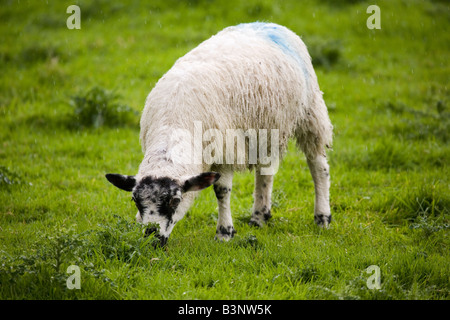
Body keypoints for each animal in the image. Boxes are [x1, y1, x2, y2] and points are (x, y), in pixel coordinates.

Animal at [104, 22, 330, 246]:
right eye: (135, 200)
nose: (151, 239)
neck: (173, 124)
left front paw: (224, 232)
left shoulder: (225, 148)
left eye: (175, 200)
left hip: (311, 112)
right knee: (265, 172)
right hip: (267, 127)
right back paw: (259, 218)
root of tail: (269, 23)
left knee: (318, 166)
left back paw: (322, 218)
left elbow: (221, 191)